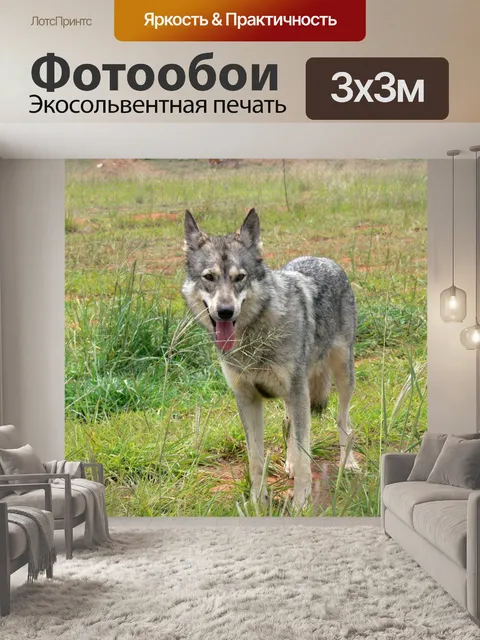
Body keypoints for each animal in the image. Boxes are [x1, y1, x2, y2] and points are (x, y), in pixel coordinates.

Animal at [182, 208, 358, 507]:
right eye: (209, 277)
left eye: (240, 277)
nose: (225, 312)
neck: (254, 338)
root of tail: (324, 259)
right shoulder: (247, 398)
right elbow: (255, 459)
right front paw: (257, 503)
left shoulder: (297, 392)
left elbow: (304, 457)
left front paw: (301, 503)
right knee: (289, 425)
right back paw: (289, 463)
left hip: (342, 377)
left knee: (343, 421)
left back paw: (349, 463)